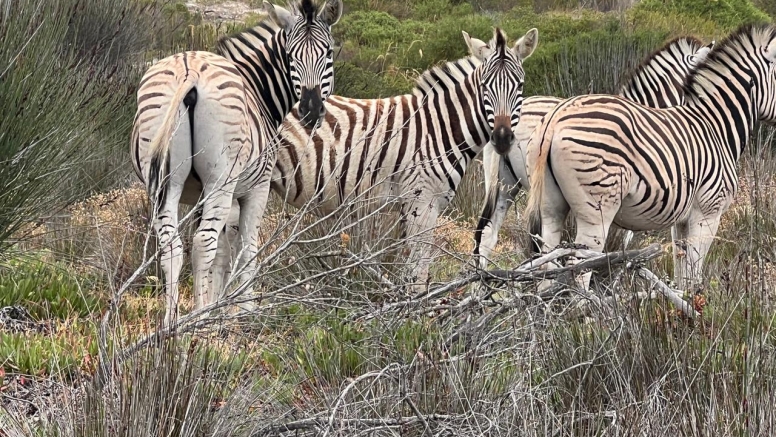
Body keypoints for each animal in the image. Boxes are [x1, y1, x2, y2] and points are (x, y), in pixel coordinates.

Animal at [131, 0, 342, 322]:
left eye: (328, 52)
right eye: (291, 56)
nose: (310, 109)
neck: (257, 89)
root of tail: (189, 71)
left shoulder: (202, 196)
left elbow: (219, 252)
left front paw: (212, 302)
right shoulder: (254, 188)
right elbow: (245, 247)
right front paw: (244, 308)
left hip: (165, 181)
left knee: (173, 244)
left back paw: (171, 322)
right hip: (220, 179)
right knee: (203, 242)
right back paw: (200, 321)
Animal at [520, 23, 776, 290]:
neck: (715, 126)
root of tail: (555, 118)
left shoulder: (680, 221)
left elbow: (682, 272)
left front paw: (681, 301)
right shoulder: (708, 213)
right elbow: (694, 271)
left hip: (550, 207)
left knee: (547, 263)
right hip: (596, 211)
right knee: (579, 270)